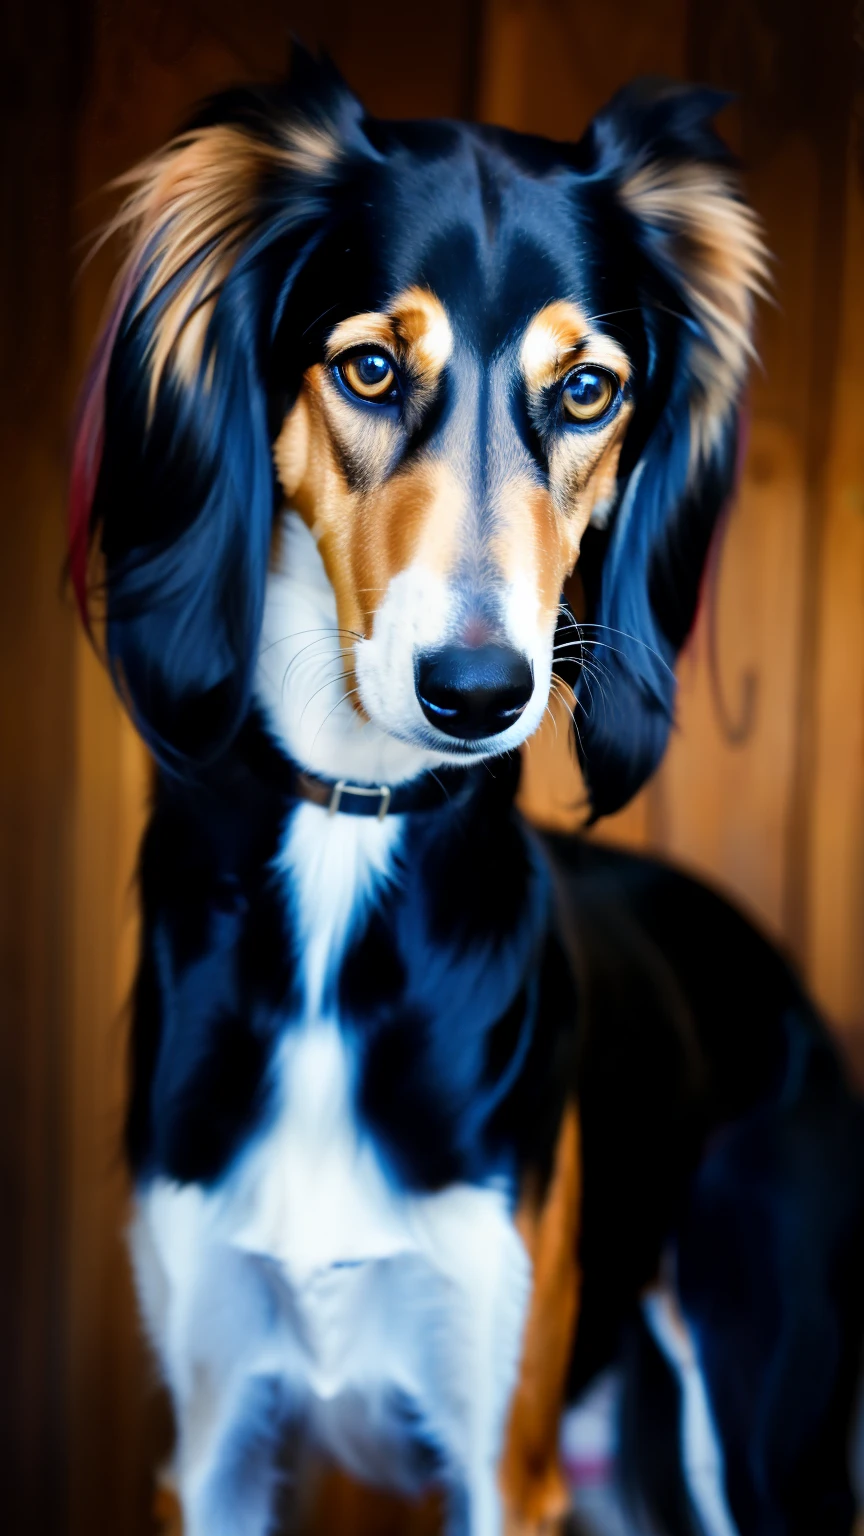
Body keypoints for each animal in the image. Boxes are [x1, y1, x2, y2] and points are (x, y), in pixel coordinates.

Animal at [70, 48, 860, 1536]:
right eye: (371, 367)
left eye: (590, 390)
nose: (479, 692)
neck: (348, 846)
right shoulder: (210, 1441)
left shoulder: (505, 1457)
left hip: (753, 1414)